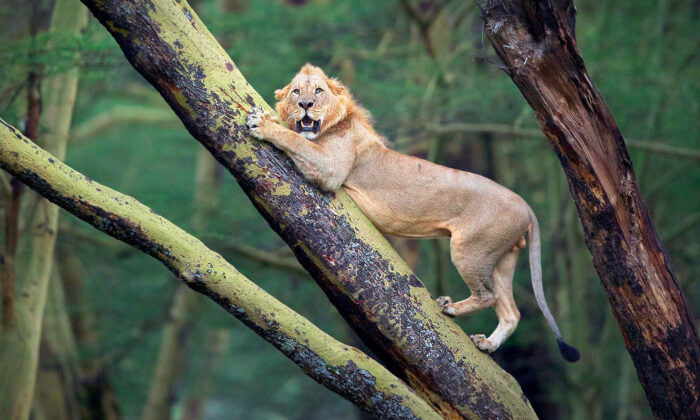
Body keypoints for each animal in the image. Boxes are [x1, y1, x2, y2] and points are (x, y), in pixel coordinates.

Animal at [246, 64, 580, 362]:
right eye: (296, 92)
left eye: (318, 91)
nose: (305, 105)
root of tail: (526, 206)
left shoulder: (331, 170)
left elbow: (295, 139)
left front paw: (264, 124)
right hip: (502, 257)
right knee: (512, 311)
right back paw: (487, 344)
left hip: (470, 248)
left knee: (489, 295)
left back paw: (451, 307)